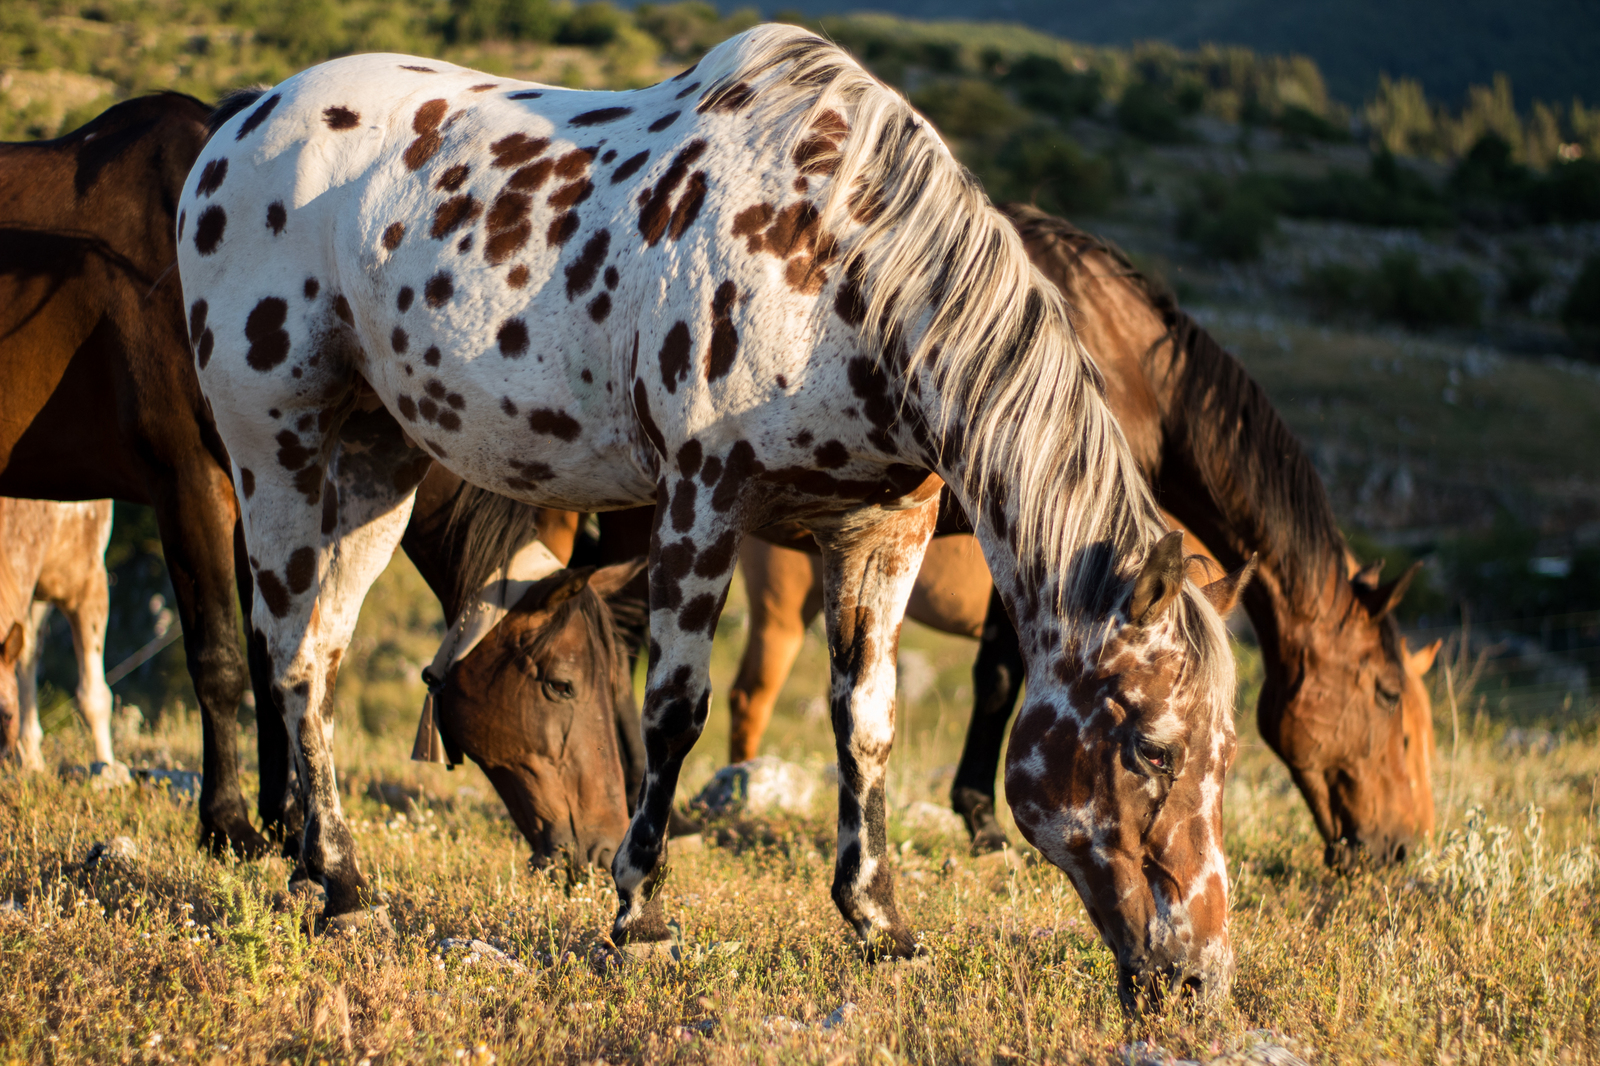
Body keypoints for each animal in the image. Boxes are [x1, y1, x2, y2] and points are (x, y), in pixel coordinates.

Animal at [178, 27, 1248, 1005]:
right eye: (1152, 747)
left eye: (1226, 755)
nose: (1199, 976)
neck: (840, 267)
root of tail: (242, 119)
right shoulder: (703, 497)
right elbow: (674, 711)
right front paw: (641, 915)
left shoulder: (881, 531)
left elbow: (866, 720)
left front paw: (881, 923)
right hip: (272, 443)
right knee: (288, 648)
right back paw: (341, 884)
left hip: (378, 453)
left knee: (322, 653)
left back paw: (324, 874)